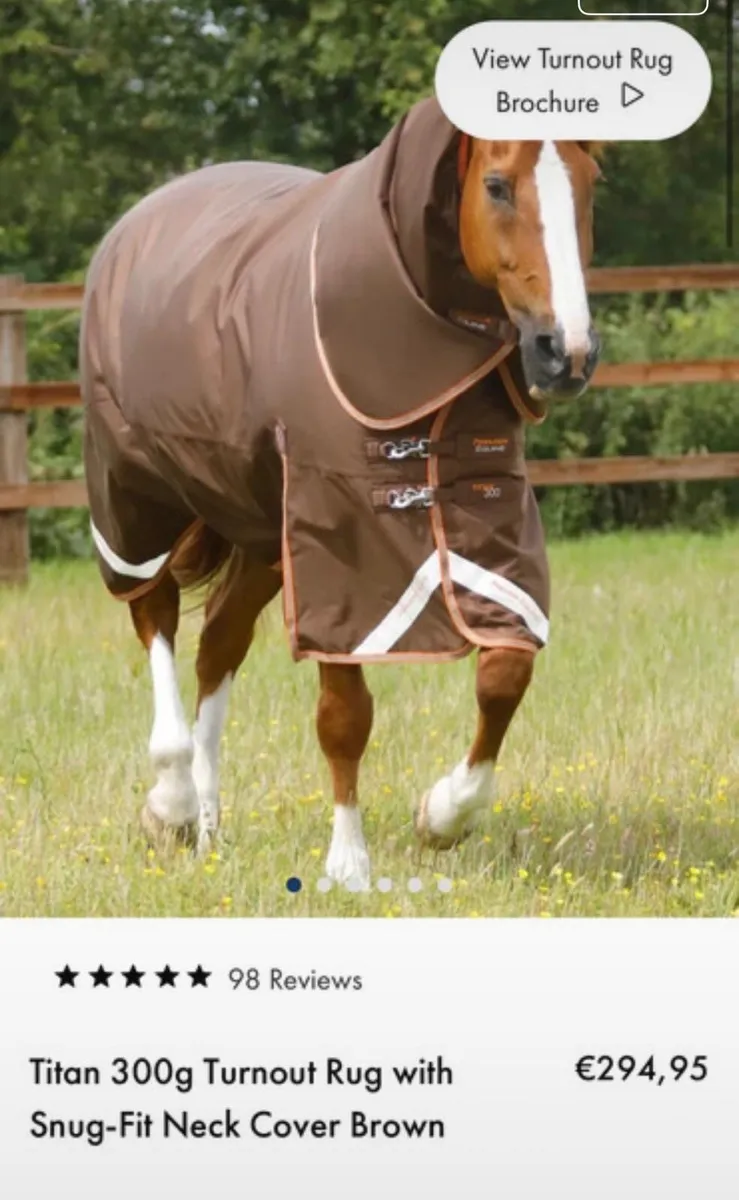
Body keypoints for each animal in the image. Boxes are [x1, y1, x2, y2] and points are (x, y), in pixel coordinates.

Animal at [80, 97, 601, 891]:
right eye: (497, 186)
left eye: (589, 183)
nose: (565, 353)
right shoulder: (337, 544)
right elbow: (344, 713)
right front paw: (349, 864)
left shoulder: (484, 522)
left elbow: (504, 673)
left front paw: (441, 817)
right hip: (139, 502)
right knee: (156, 617)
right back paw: (170, 806)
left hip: (261, 535)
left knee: (216, 648)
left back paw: (208, 826)